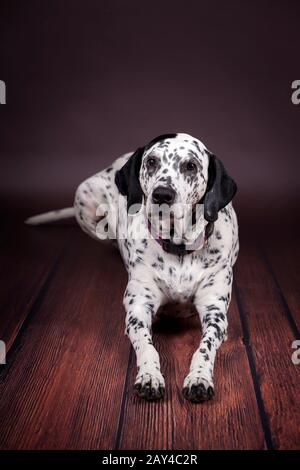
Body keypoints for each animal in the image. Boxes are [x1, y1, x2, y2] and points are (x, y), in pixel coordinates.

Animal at [27, 133, 240, 404]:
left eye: (191, 166)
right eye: (151, 161)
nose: (162, 194)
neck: (178, 249)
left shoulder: (215, 312)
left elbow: (204, 348)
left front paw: (199, 378)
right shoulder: (138, 308)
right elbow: (147, 347)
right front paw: (149, 376)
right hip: (84, 197)